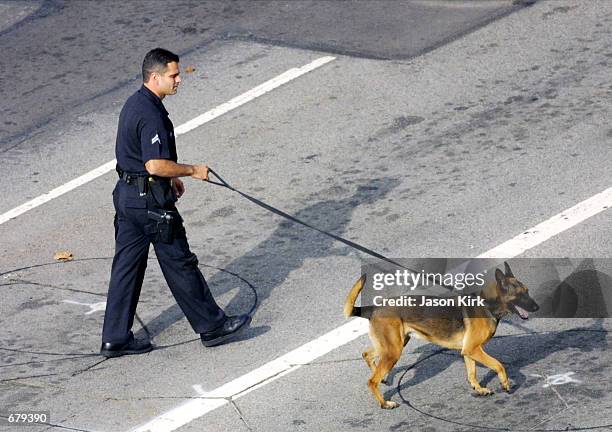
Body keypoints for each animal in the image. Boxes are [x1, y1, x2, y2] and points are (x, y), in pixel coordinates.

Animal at [344, 260, 540, 408]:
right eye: (520, 295)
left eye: (528, 291)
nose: (538, 307)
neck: (486, 303)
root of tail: (373, 308)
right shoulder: (473, 349)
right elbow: (498, 364)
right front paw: (505, 383)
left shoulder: (469, 351)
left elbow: (472, 373)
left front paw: (478, 388)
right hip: (393, 351)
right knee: (371, 380)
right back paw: (384, 403)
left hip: (393, 346)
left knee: (367, 355)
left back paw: (382, 377)